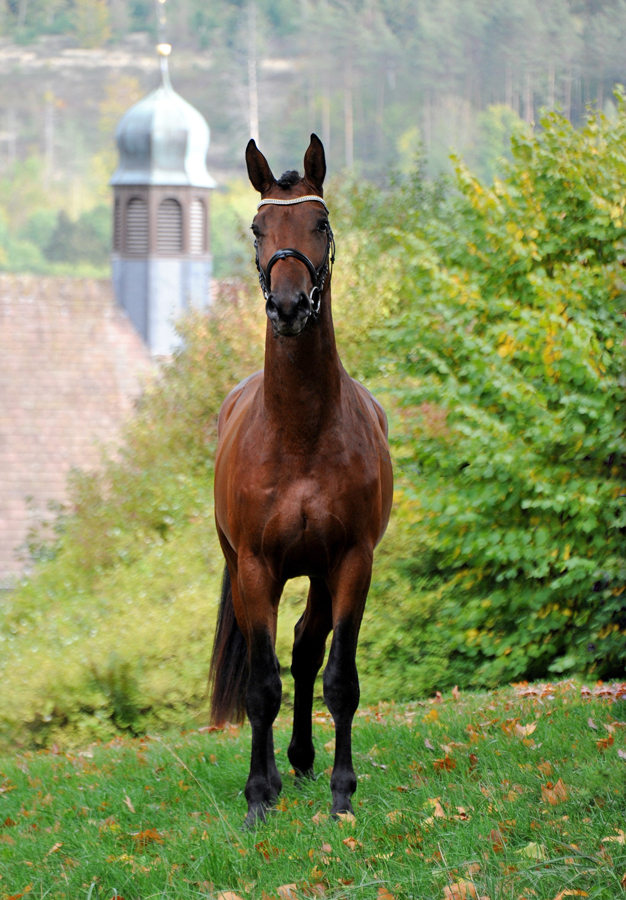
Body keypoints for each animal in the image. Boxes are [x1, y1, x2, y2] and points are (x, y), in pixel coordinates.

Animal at [212, 130, 392, 828]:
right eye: (258, 228)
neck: (299, 434)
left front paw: (343, 793)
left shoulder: (350, 563)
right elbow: (262, 686)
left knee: (307, 650)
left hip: (317, 574)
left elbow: (339, 678)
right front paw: (259, 797)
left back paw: (303, 759)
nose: (289, 307)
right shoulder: (257, 568)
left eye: (320, 223)